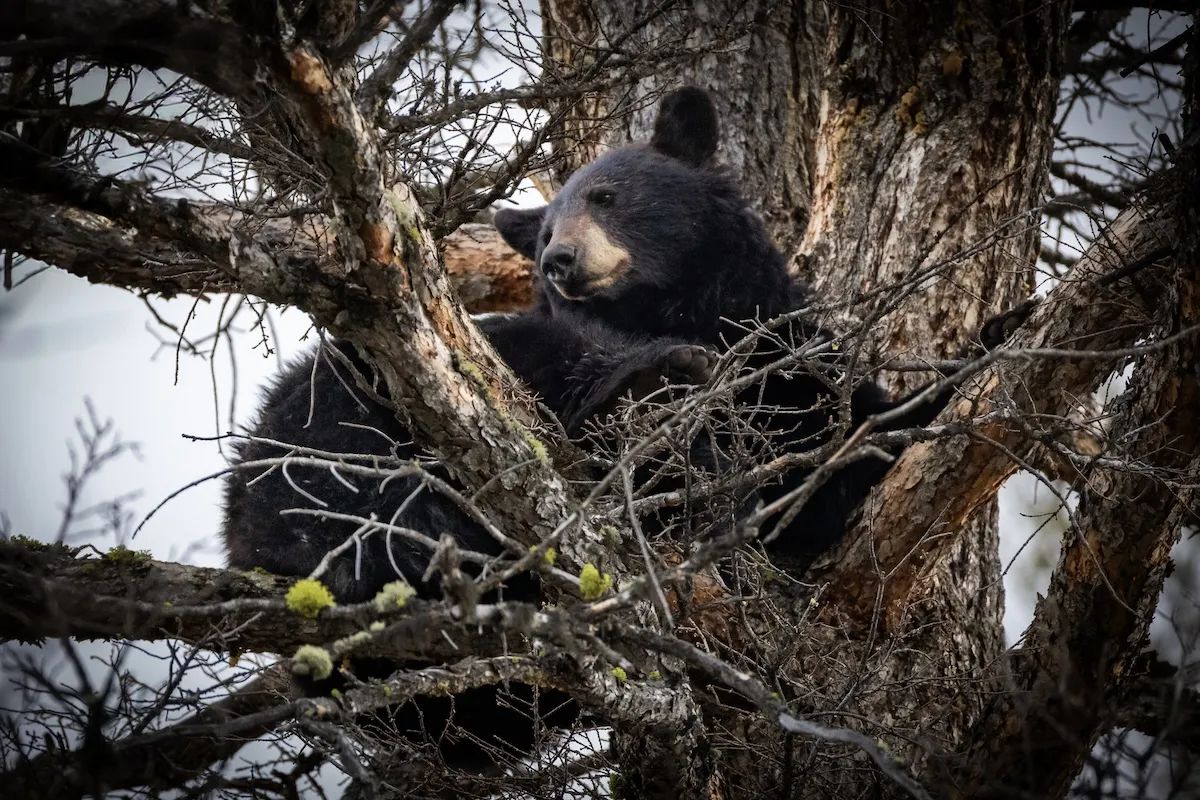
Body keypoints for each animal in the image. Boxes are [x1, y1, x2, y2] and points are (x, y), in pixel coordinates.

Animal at [494, 85, 1031, 574]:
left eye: (605, 197)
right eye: (545, 234)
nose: (558, 259)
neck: (679, 313)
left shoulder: (786, 357)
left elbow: (862, 437)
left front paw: (1002, 332)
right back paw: (654, 391)